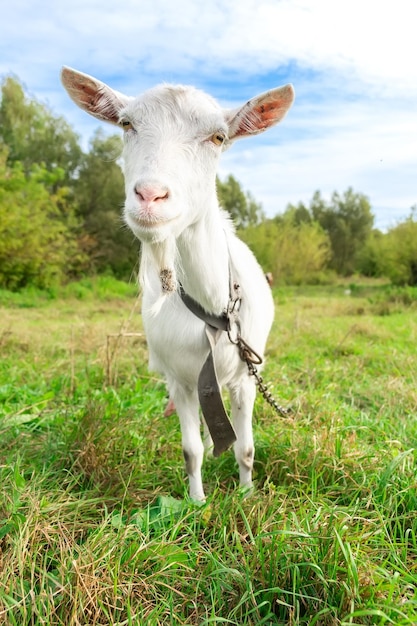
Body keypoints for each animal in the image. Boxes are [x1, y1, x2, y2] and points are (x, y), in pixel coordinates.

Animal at [61, 67, 292, 498]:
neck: (214, 310)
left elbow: (246, 447)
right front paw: (197, 502)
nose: (151, 196)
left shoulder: (245, 378)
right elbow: (191, 449)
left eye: (218, 137)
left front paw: (246, 495)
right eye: (126, 124)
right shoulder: (181, 380)